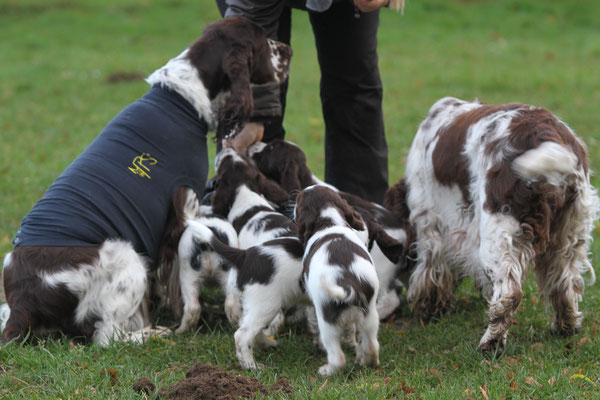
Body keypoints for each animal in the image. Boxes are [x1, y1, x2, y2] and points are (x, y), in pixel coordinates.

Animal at [0, 17, 290, 346]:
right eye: (263, 40)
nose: (289, 51)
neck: (182, 99)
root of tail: (22, 303)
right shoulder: (184, 208)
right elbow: (177, 280)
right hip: (126, 256)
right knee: (106, 335)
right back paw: (154, 333)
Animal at [386, 97, 596, 354]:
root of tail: (549, 136)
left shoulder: (428, 220)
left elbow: (430, 270)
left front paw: (430, 309)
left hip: (498, 234)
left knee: (509, 293)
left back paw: (490, 343)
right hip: (569, 233)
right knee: (564, 283)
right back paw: (565, 326)